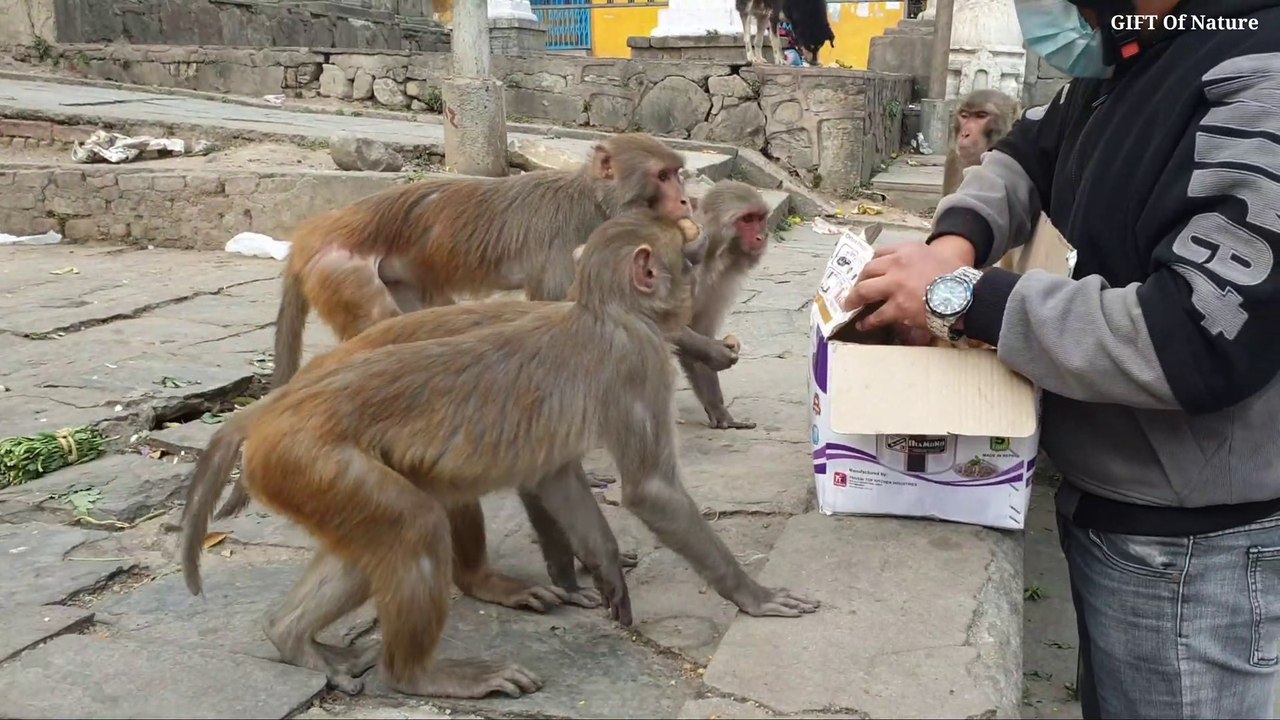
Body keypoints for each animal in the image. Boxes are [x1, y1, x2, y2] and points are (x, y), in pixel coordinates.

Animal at [181, 210, 818, 699]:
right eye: (684, 260)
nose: (694, 284)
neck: (602, 310)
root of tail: (274, 412)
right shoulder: (637, 361)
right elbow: (650, 492)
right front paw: (754, 596)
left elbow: (557, 475)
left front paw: (602, 567)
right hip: (312, 459)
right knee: (414, 527)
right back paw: (420, 671)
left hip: (303, 474)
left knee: (373, 544)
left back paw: (291, 638)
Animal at [676, 180, 772, 430]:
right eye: (747, 220)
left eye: (759, 218)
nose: (761, 237)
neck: (713, 253)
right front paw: (717, 354)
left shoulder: (721, 279)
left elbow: (699, 330)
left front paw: (718, 409)